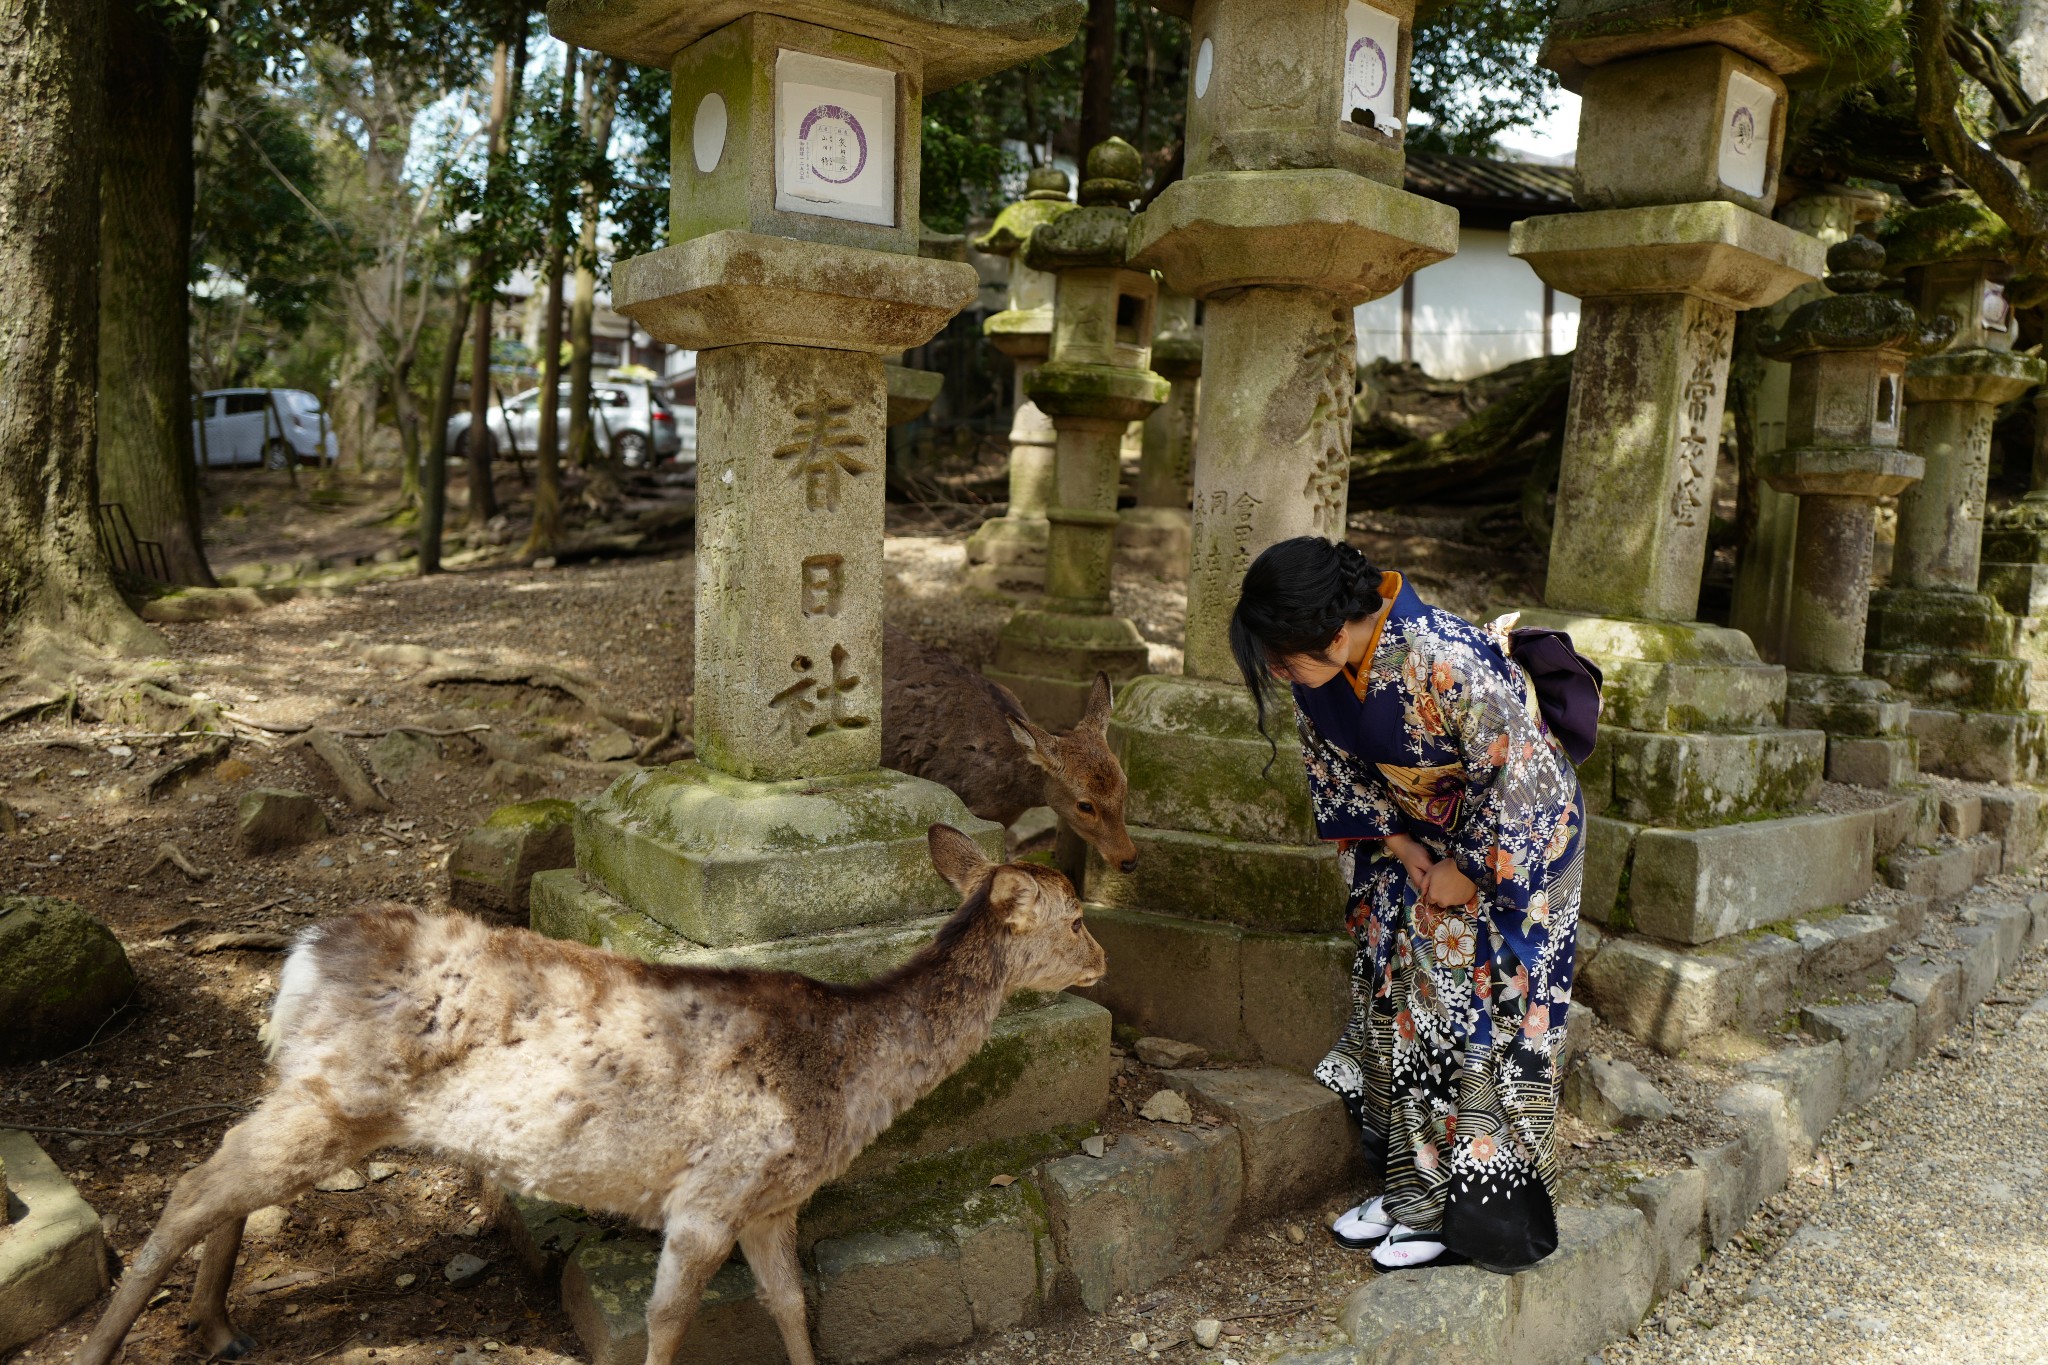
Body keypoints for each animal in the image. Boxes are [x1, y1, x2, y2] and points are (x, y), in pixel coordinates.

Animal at [68, 822, 1105, 1365]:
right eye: (1076, 916)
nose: (1100, 960)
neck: (844, 1082)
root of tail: (298, 957)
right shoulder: (710, 1192)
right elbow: (669, 1317)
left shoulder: (770, 1202)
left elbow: (791, 1305)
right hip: (339, 1098)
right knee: (194, 1186)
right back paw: (102, 1346)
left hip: (301, 1087)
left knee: (230, 1188)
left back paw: (217, 1326)